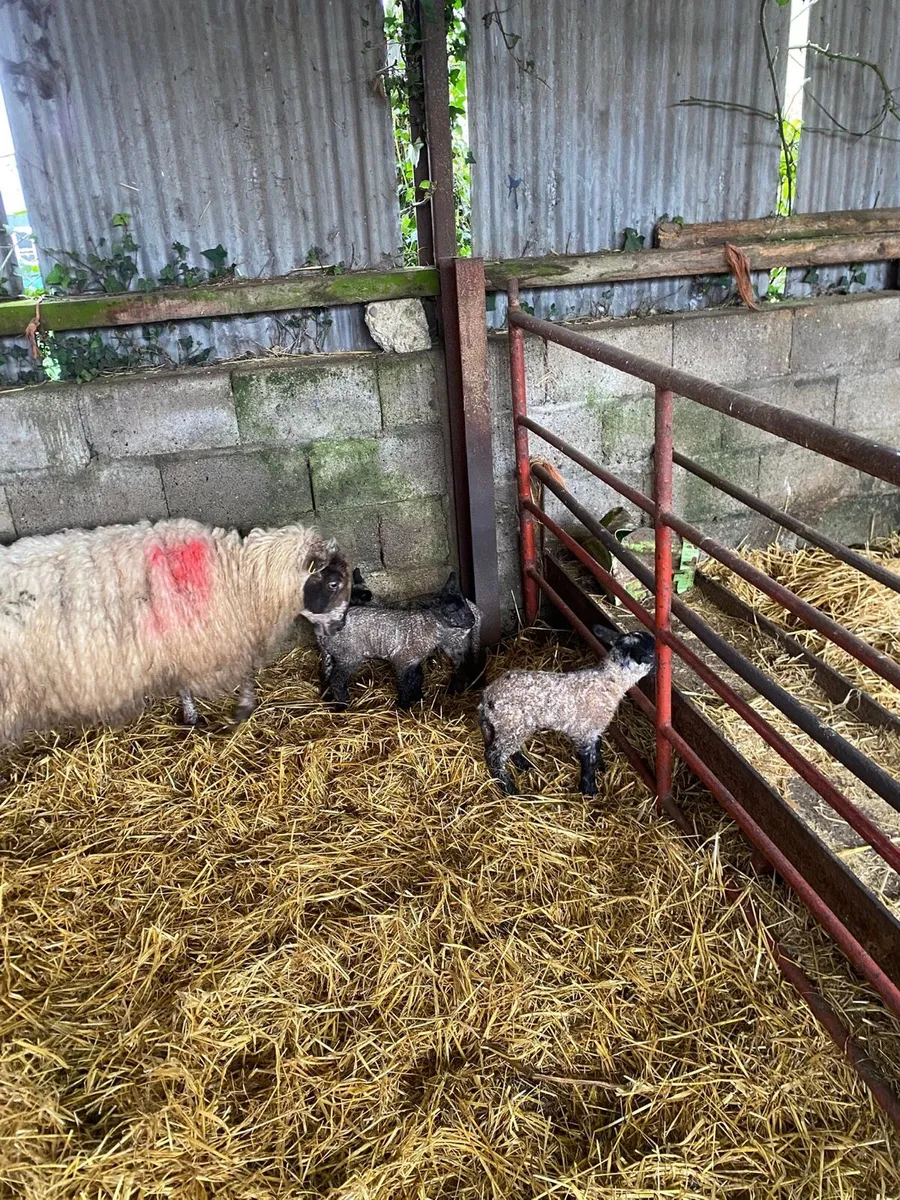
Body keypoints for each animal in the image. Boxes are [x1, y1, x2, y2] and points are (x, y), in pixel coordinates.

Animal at [0, 516, 351, 744]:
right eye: (333, 583)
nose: (339, 626)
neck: (239, 576)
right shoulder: (205, 639)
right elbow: (244, 675)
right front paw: (240, 710)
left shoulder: (183, 644)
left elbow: (186, 686)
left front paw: (192, 718)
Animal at [315, 569, 483, 709]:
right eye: (452, 610)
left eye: (464, 603)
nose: (471, 621)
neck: (426, 625)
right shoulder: (403, 660)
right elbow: (404, 684)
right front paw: (404, 706)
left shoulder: (413, 662)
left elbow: (416, 679)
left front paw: (418, 698)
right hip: (348, 655)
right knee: (336, 680)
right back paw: (343, 705)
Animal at [478, 627, 656, 796]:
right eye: (653, 655)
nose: (655, 674)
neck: (609, 682)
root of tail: (486, 698)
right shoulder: (585, 731)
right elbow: (588, 760)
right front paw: (589, 790)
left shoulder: (593, 730)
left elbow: (598, 746)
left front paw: (600, 767)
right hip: (512, 723)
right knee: (494, 756)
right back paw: (509, 789)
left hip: (510, 727)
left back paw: (525, 765)